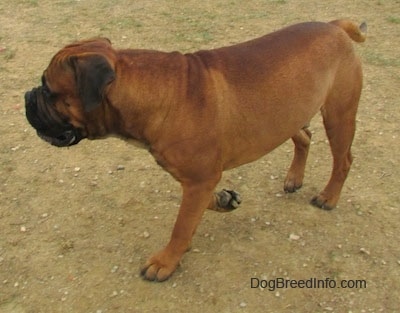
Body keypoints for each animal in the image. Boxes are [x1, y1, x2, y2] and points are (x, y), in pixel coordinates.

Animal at [24, 18, 366, 280]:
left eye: (48, 90)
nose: (28, 95)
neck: (157, 92)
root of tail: (334, 26)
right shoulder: (197, 180)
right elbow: (198, 211)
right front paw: (225, 200)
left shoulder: (199, 180)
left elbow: (181, 225)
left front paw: (165, 262)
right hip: (287, 115)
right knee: (304, 137)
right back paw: (294, 177)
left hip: (338, 116)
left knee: (344, 160)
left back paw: (329, 196)